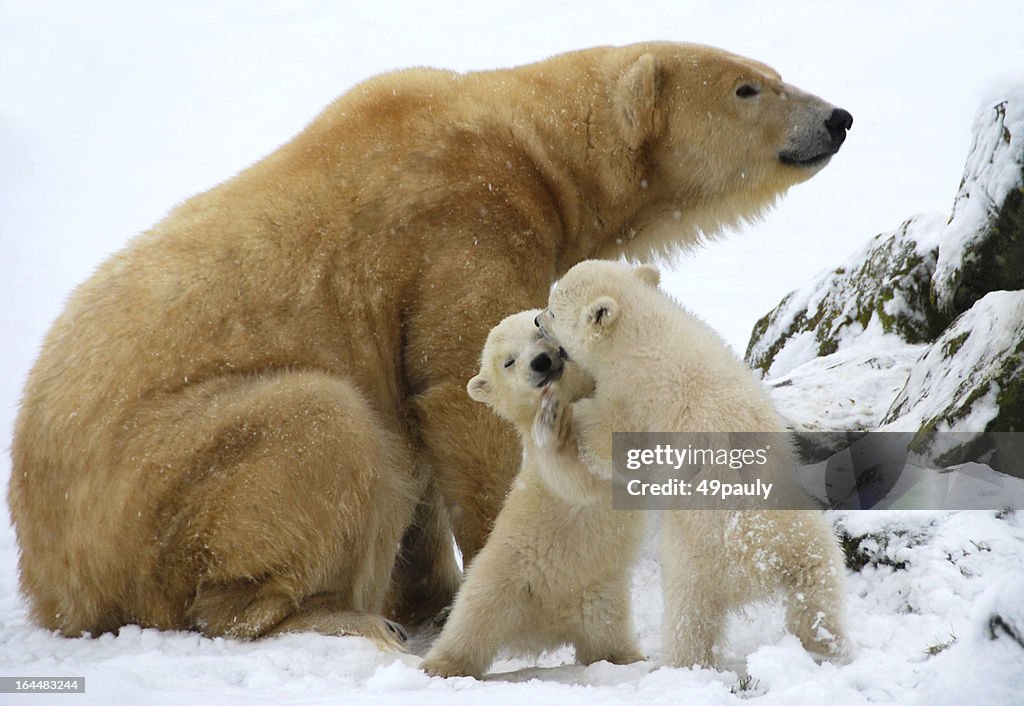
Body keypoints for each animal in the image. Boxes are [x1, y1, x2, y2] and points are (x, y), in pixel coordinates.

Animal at [8, 41, 851, 643]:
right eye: (748, 87)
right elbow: (457, 389)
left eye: (772, 72)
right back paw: (334, 616)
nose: (837, 117)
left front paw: (433, 596)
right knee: (320, 421)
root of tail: (51, 583)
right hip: (162, 492)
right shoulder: (457, 224)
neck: (528, 146)